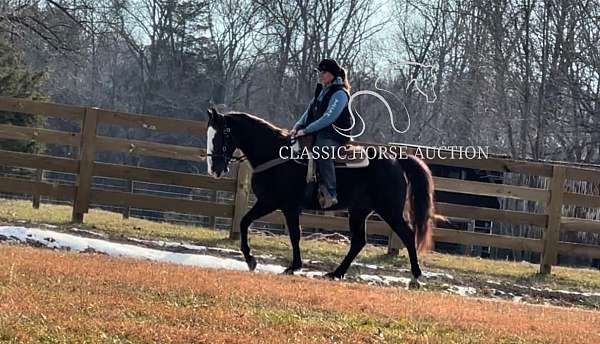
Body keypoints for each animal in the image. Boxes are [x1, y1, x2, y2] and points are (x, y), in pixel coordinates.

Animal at [205, 107, 436, 284]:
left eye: (222, 134)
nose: (214, 169)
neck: (276, 154)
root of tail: (397, 159)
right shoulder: (267, 202)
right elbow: (244, 222)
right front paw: (250, 259)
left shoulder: (284, 205)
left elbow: (294, 234)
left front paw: (293, 266)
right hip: (359, 211)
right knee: (358, 242)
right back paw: (335, 273)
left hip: (390, 210)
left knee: (407, 235)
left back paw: (415, 277)